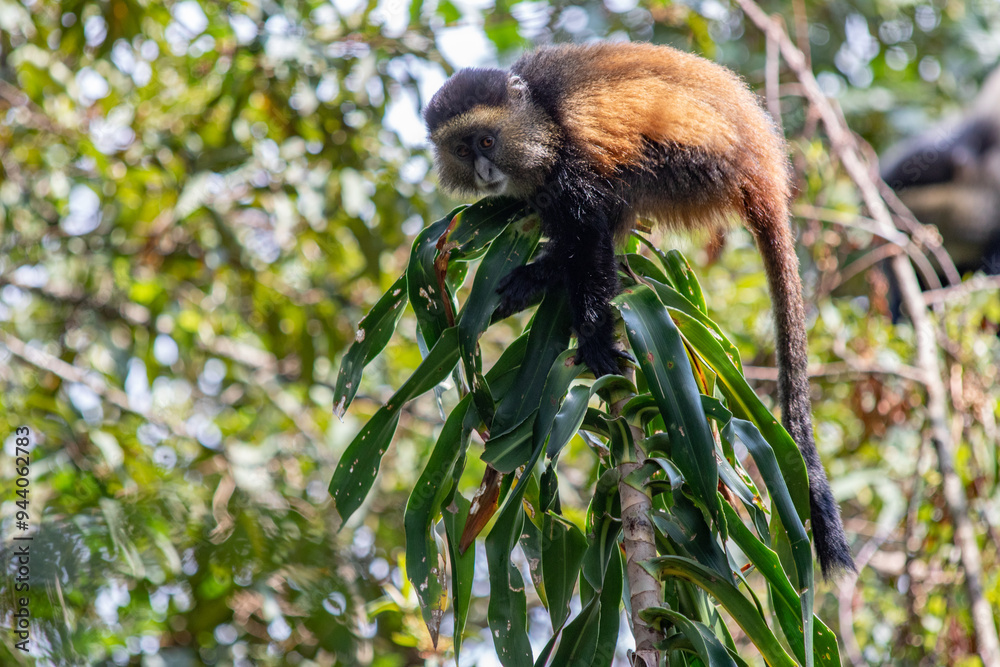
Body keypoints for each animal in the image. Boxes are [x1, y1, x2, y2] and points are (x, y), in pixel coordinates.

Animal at [424, 42, 854, 577]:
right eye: (463, 150)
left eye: (486, 140)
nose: (484, 172)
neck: (540, 115)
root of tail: (765, 170)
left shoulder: (573, 161)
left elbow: (589, 234)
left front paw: (594, 341)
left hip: (689, 169)